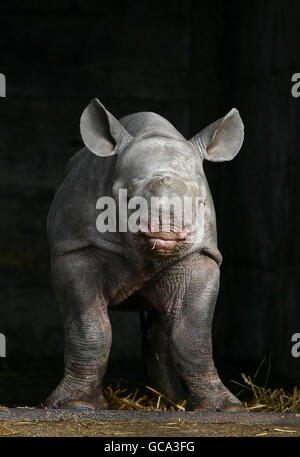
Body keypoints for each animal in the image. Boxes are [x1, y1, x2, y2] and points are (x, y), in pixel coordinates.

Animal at [46, 99, 244, 410]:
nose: (166, 229)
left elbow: (193, 333)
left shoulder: (202, 255)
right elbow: (90, 326)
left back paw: (172, 400)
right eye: (126, 197)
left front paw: (225, 407)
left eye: (200, 203)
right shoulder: (75, 248)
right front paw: (75, 405)